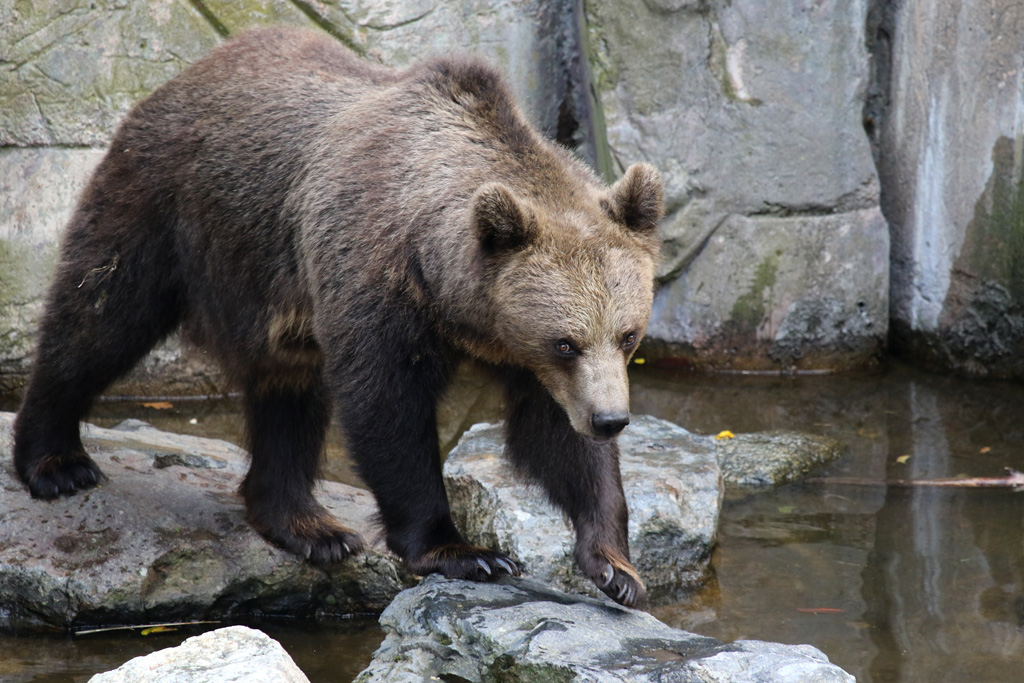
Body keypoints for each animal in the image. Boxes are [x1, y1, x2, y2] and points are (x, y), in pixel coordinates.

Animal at [12, 26, 663, 607]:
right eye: (564, 342)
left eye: (628, 336)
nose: (611, 419)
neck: (449, 293)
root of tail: (192, 68)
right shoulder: (374, 276)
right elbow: (386, 404)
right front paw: (463, 551)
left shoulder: (521, 350)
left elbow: (554, 435)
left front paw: (615, 565)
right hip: (168, 206)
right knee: (101, 316)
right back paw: (55, 461)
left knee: (287, 392)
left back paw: (308, 526)